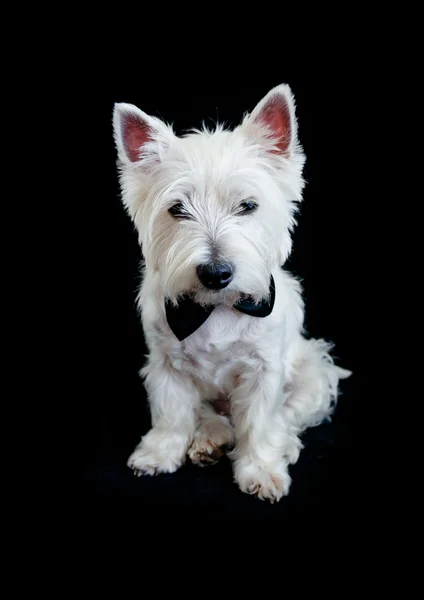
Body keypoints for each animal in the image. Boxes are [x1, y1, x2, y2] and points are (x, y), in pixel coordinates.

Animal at [112, 84, 352, 502]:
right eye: (177, 209)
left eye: (248, 205)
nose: (216, 273)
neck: (216, 307)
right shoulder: (165, 365)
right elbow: (172, 414)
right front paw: (159, 453)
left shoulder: (264, 370)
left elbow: (261, 422)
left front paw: (261, 469)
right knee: (210, 414)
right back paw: (210, 439)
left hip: (313, 371)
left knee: (289, 415)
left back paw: (280, 444)